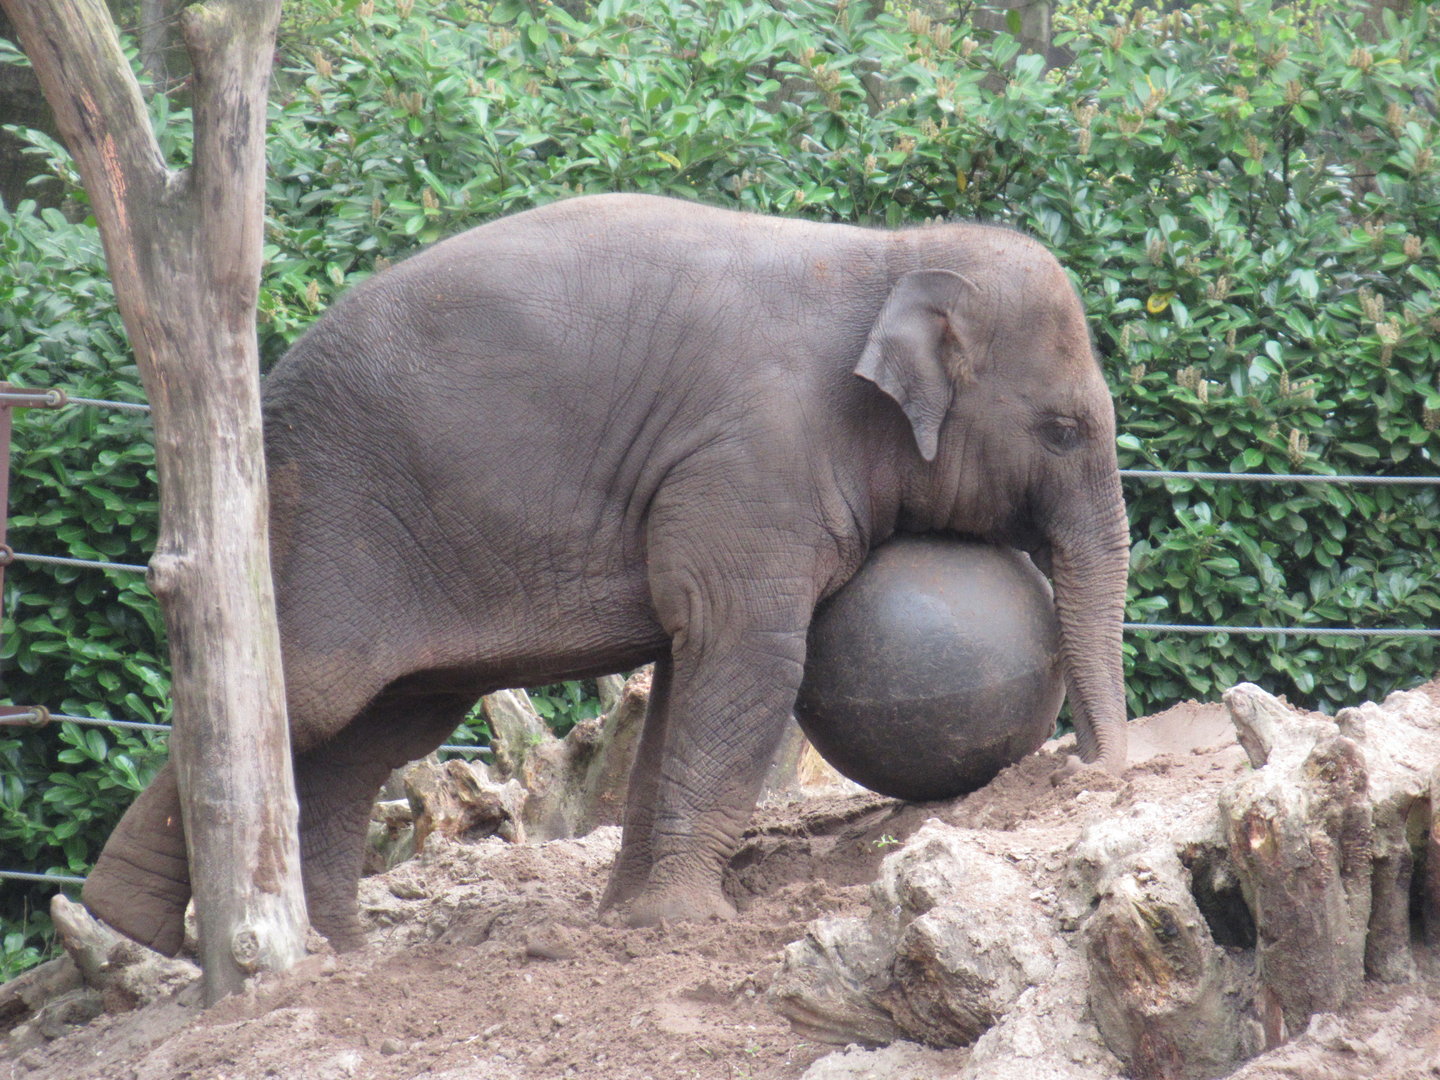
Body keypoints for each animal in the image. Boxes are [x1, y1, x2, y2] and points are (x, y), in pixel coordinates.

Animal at [80, 193, 1129, 955]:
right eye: (1062, 430)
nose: (1100, 772)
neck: (891, 256)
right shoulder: (755, 463)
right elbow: (746, 652)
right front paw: (685, 925)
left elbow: (681, 670)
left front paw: (631, 919)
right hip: (329, 516)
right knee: (312, 696)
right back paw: (134, 927)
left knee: (376, 731)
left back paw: (336, 952)